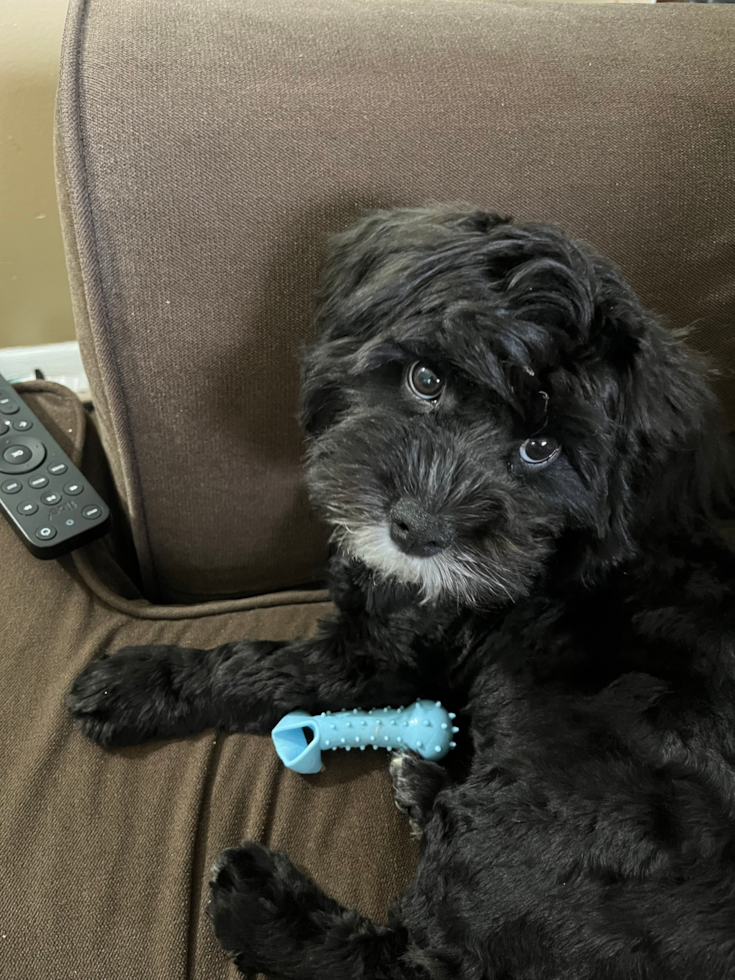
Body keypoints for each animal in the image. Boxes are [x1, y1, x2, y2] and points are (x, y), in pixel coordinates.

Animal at [67, 209, 735, 980]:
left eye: (541, 449)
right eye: (424, 378)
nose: (418, 528)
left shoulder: (383, 656)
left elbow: (260, 665)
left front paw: (134, 682)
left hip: (545, 825)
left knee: (407, 961)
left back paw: (260, 900)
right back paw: (419, 783)